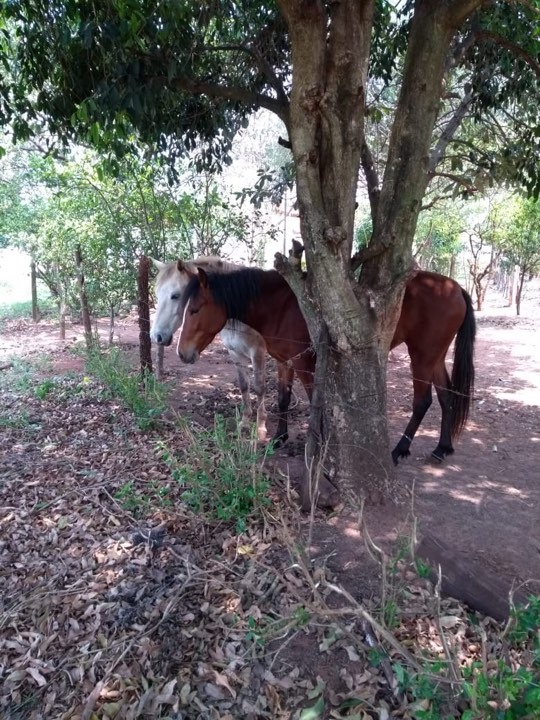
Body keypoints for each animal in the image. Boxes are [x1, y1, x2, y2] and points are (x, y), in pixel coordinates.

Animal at [150, 256, 270, 442]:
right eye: (156, 294)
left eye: (176, 296)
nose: (156, 336)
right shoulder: (234, 353)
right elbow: (244, 385)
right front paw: (244, 422)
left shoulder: (257, 353)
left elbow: (259, 387)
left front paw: (260, 429)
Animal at [175, 264, 474, 462]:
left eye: (195, 310)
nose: (181, 353)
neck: (279, 305)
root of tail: (455, 287)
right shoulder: (285, 362)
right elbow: (283, 399)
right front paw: (279, 438)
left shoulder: (306, 365)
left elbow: (314, 402)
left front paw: (320, 445)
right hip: (435, 356)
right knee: (447, 396)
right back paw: (442, 448)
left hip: (422, 356)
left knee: (423, 402)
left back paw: (400, 449)